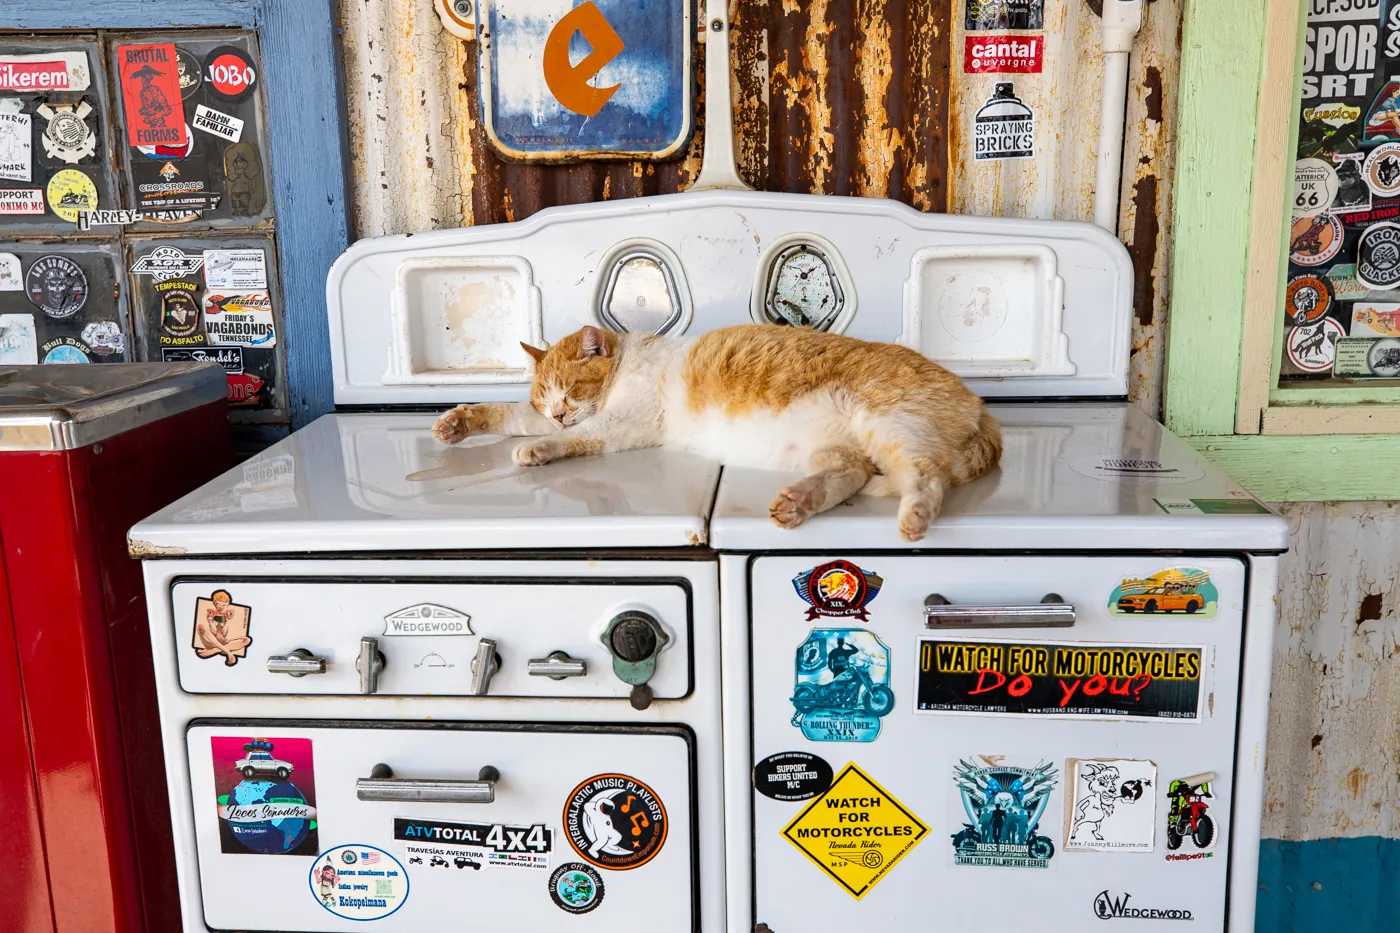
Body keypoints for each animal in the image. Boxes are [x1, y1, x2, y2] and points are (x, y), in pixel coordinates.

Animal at [431, 323, 1002, 537]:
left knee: (926, 479)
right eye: (542, 396)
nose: (555, 413)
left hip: (890, 424)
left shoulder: (618, 424)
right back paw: (797, 502)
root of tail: (977, 401)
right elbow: (505, 415)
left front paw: (539, 447)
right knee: (848, 474)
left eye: (568, 388)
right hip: (837, 449)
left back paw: (915, 517)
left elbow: (572, 439)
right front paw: (459, 422)